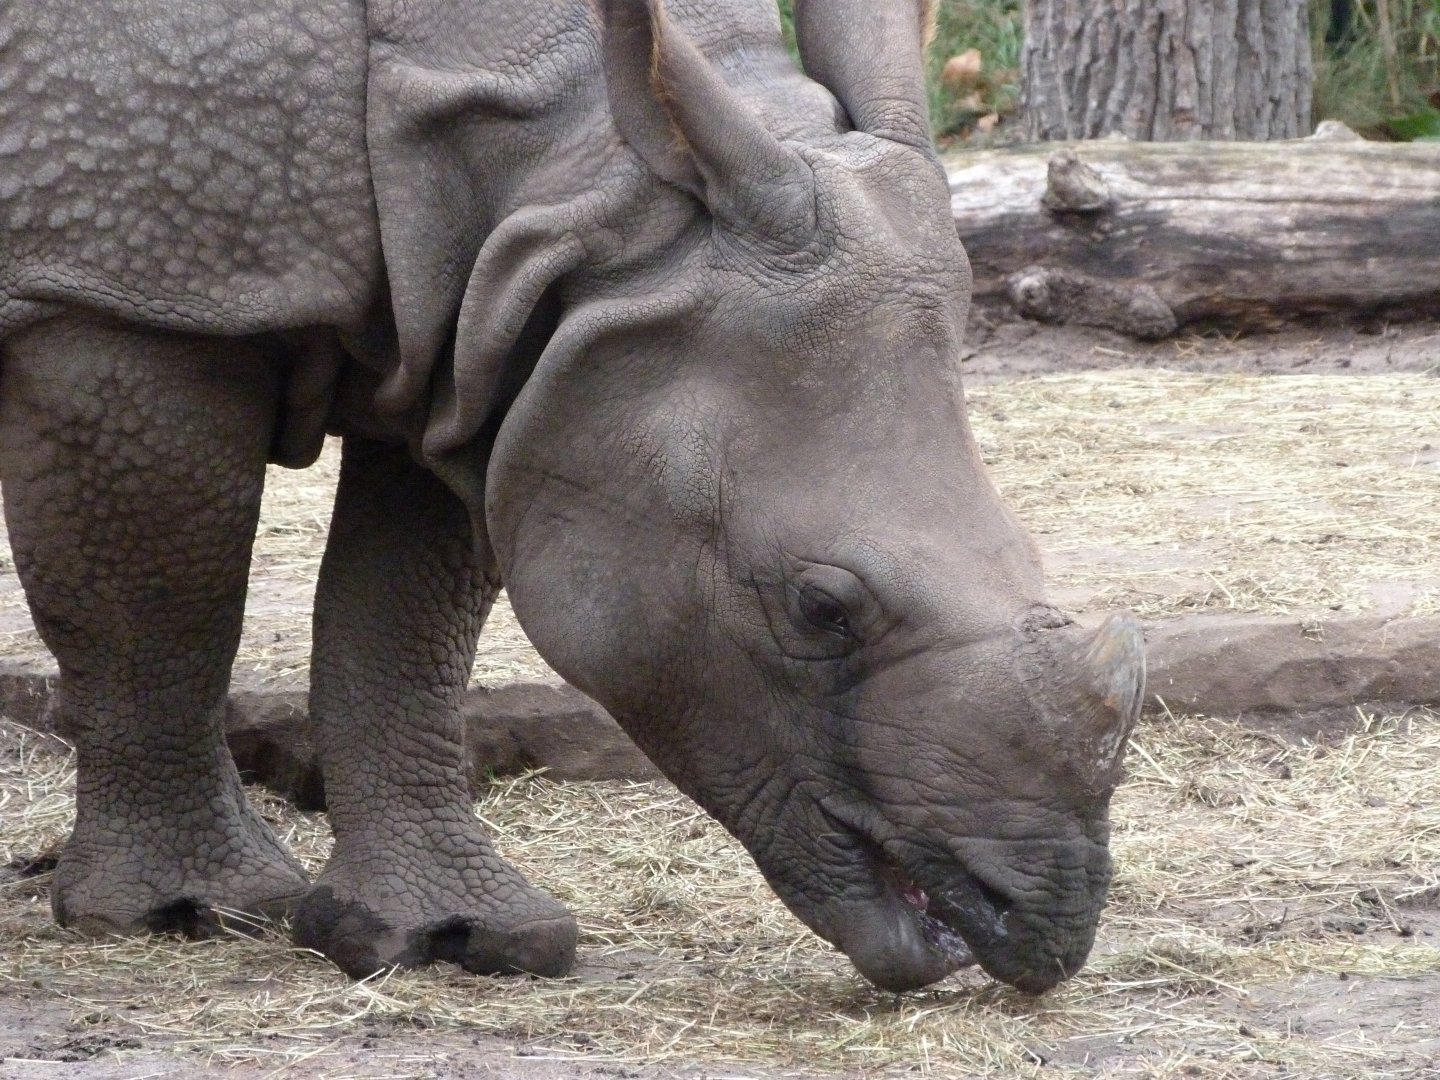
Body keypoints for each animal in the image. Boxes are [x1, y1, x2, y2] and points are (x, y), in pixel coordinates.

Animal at [0, 0, 1144, 994]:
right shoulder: (127, 296)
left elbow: (401, 622)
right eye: (822, 609)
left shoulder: (496, 347)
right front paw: (191, 913)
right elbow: (159, 611)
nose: (1048, 925)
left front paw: (456, 939)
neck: (586, 189)